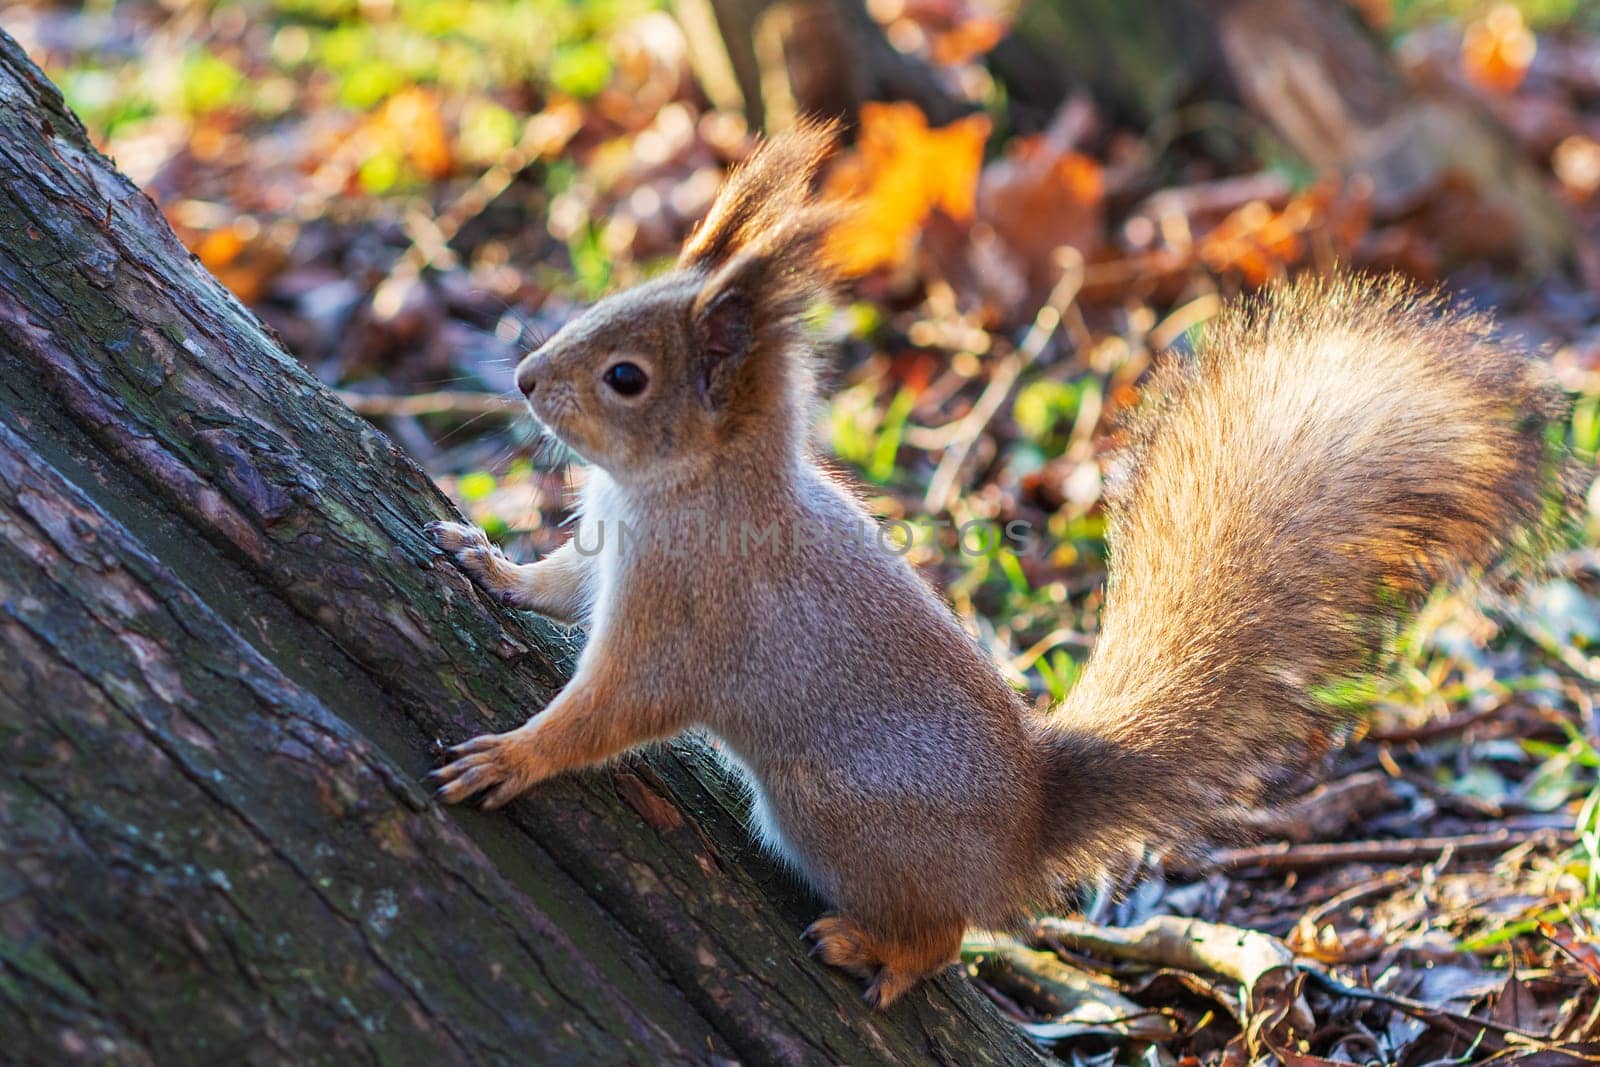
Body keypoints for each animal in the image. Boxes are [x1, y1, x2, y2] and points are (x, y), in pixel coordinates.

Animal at [422, 123, 1561, 1011]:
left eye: (627, 378)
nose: (525, 378)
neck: (682, 487)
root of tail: (1023, 829)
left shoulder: (688, 613)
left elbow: (613, 709)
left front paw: (514, 756)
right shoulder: (606, 558)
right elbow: (558, 585)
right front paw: (487, 562)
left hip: (841, 816)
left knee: (944, 934)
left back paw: (877, 949)